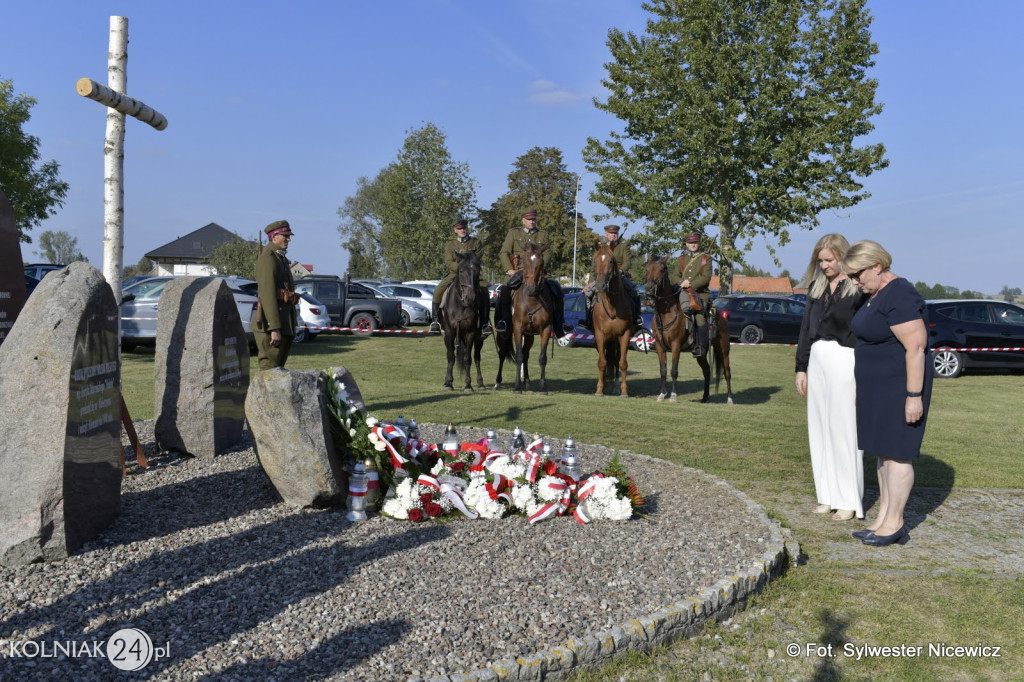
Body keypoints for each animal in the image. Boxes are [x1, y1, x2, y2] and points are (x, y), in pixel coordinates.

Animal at [442, 250, 485, 391]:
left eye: (477, 270)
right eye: (460, 270)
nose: (470, 298)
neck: (461, 306)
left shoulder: (470, 333)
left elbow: (467, 358)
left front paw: (468, 384)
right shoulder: (449, 332)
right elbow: (451, 356)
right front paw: (448, 382)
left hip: (478, 338)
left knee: (476, 357)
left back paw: (480, 382)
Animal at [493, 242, 557, 393]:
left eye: (541, 263)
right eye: (524, 261)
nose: (532, 289)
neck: (532, 300)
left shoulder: (545, 329)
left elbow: (542, 357)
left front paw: (543, 387)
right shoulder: (517, 329)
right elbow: (518, 356)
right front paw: (517, 387)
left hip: (529, 336)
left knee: (526, 354)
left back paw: (526, 381)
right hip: (503, 334)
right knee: (502, 354)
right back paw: (498, 382)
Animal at [643, 254, 733, 403]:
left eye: (661, 270)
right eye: (647, 269)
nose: (649, 291)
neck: (666, 313)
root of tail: (721, 317)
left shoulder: (676, 346)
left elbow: (674, 371)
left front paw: (673, 395)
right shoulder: (660, 347)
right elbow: (663, 371)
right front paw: (662, 394)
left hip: (723, 350)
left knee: (727, 372)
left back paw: (730, 398)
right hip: (701, 354)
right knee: (707, 371)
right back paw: (705, 397)